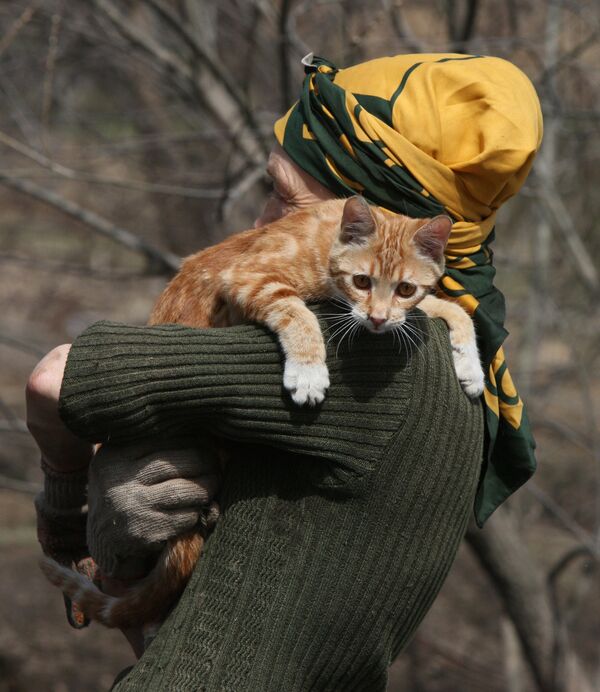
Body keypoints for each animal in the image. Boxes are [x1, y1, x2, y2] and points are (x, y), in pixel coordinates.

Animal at [41, 195, 482, 632]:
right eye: (362, 282)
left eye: (405, 288)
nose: (376, 319)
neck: (328, 244)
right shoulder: (248, 277)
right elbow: (297, 311)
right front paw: (308, 370)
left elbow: (451, 309)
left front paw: (472, 367)